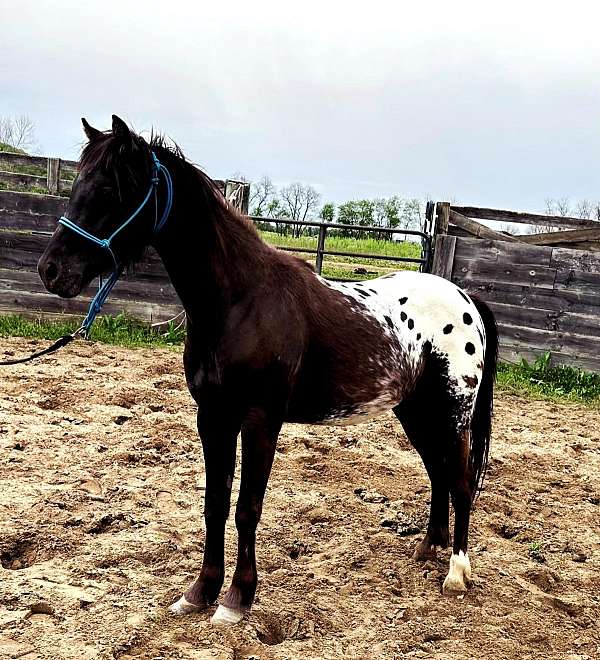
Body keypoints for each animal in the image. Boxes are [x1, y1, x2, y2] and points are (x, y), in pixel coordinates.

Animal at [38, 115, 498, 626]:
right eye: (77, 184)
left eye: (112, 189)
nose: (52, 271)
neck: (241, 301)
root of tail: (466, 299)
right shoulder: (212, 417)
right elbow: (215, 502)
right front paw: (200, 592)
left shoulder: (260, 420)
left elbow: (247, 507)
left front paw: (237, 599)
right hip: (415, 412)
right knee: (438, 473)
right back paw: (428, 549)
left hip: (452, 413)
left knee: (459, 480)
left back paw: (456, 572)